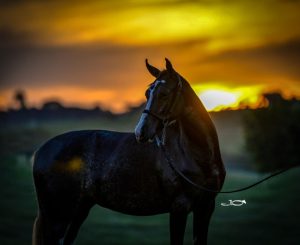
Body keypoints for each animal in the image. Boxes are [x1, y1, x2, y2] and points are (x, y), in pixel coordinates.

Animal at [32, 59, 225, 245]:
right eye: (147, 93)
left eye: (164, 93)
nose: (141, 131)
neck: (195, 155)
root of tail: (41, 150)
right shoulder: (179, 208)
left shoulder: (206, 207)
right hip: (57, 218)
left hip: (79, 211)